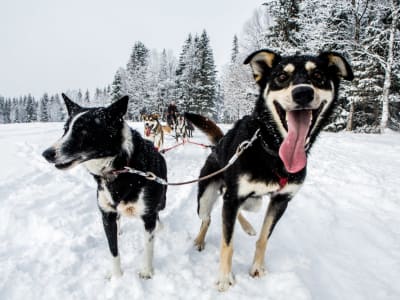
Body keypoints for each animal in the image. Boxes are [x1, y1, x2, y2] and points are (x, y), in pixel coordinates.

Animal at [43, 95, 168, 280]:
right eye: (65, 129)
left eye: (83, 131)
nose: (46, 154)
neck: (120, 167)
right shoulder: (106, 216)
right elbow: (113, 250)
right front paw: (117, 277)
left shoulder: (148, 215)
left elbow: (148, 247)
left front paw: (146, 272)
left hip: (161, 201)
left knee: (158, 213)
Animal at [184, 48, 354, 290]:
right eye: (281, 77)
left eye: (318, 76)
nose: (303, 93)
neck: (272, 150)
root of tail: (218, 145)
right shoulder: (234, 197)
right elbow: (227, 242)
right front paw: (225, 277)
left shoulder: (281, 201)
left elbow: (263, 238)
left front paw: (257, 268)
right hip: (206, 197)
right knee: (207, 218)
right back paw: (199, 240)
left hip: (251, 202)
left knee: (236, 213)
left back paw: (247, 226)